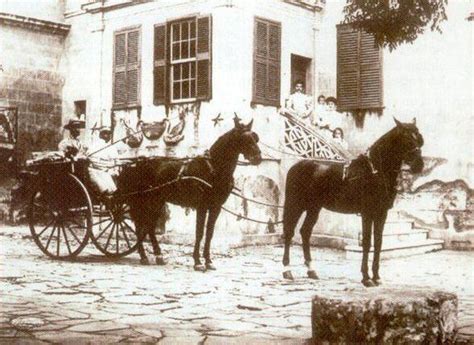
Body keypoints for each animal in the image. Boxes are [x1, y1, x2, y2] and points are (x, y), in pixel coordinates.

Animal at [116, 118, 262, 268]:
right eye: (244, 138)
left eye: (255, 138)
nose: (258, 158)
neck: (213, 169)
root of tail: (131, 164)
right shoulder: (202, 206)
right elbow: (199, 233)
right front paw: (197, 262)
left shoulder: (216, 207)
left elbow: (209, 233)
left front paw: (208, 260)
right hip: (139, 202)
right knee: (139, 226)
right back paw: (144, 256)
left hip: (156, 202)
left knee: (149, 227)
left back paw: (158, 256)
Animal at [284, 118, 424, 284]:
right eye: (406, 138)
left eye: (419, 137)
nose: (419, 165)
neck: (375, 171)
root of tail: (296, 166)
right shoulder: (367, 213)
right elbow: (367, 242)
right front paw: (366, 278)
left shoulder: (381, 213)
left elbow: (378, 242)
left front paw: (376, 277)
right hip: (295, 205)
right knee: (289, 232)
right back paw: (287, 271)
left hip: (314, 207)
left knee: (305, 232)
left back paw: (311, 271)